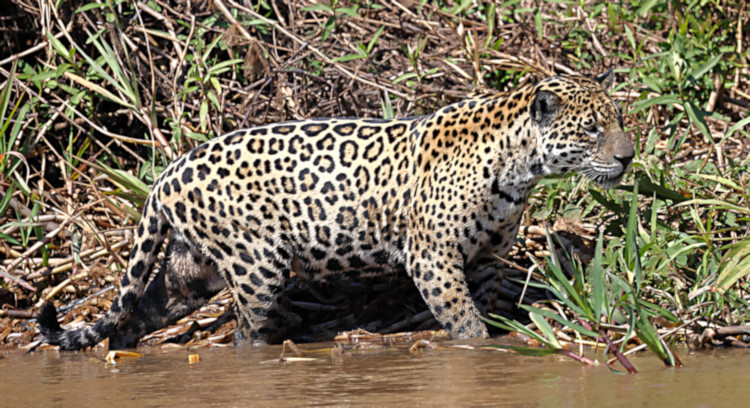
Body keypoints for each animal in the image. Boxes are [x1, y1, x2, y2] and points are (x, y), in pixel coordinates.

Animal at [38, 70, 634, 350]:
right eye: (591, 130)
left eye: (620, 121)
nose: (628, 156)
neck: (519, 168)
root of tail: (166, 173)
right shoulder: (433, 256)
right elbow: (463, 320)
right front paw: (477, 348)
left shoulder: (485, 257)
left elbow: (481, 307)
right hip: (257, 264)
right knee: (244, 334)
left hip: (192, 269)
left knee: (140, 310)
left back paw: (124, 357)